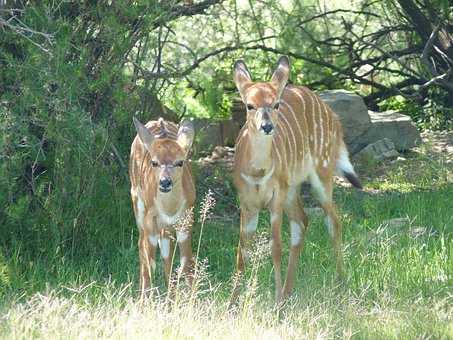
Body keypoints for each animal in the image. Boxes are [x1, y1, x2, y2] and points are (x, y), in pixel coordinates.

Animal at [130, 117, 195, 298]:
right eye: (154, 162)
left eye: (180, 162)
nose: (165, 182)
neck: (169, 210)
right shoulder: (150, 221)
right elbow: (150, 262)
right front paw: (145, 300)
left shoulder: (186, 220)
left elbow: (186, 263)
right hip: (138, 208)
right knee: (141, 245)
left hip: (165, 228)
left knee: (167, 255)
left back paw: (170, 295)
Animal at [231, 55, 362, 302]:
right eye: (249, 105)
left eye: (276, 104)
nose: (267, 126)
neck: (257, 173)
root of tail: (333, 116)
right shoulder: (246, 202)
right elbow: (242, 251)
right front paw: (232, 304)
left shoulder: (275, 198)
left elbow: (275, 247)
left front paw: (276, 301)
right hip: (292, 188)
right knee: (302, 220)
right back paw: (289, 290)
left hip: (321, 174)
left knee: (333, 220)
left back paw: (341, 281)